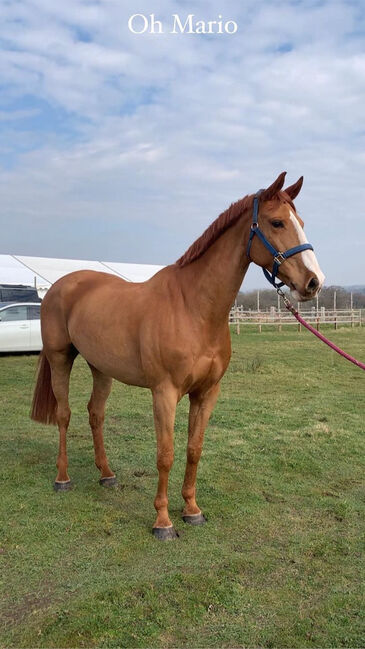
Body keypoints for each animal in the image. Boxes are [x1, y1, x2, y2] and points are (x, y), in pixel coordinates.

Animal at [31, 171, 324, 536]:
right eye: (277, 223)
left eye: (302, 222)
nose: (314, 282)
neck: (193, 307)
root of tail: (58, 287)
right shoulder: (165, 392)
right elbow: (166, 454)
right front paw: (163, 521)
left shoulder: (207, 393)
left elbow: (194, 449)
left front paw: (192, 510)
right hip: (60, 359)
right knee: (64, 415)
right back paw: (62, 478)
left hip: (101, 367)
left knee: (95, 414)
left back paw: (107, 475)